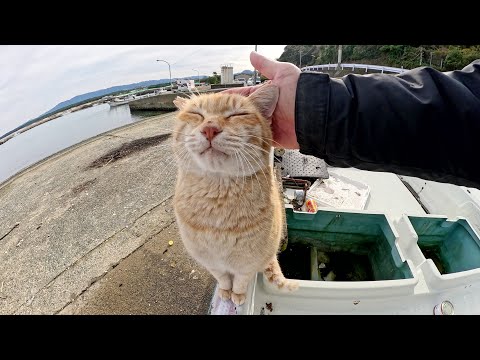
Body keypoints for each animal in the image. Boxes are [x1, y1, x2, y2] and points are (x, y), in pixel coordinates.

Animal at [171, 83, 294, 304]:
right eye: (196, 114)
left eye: (238, 114)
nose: (210, 129)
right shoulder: (211, 263)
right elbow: (223, 278)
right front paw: (225, 291)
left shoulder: (247, 264)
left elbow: (240, 281)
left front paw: (237, 295)